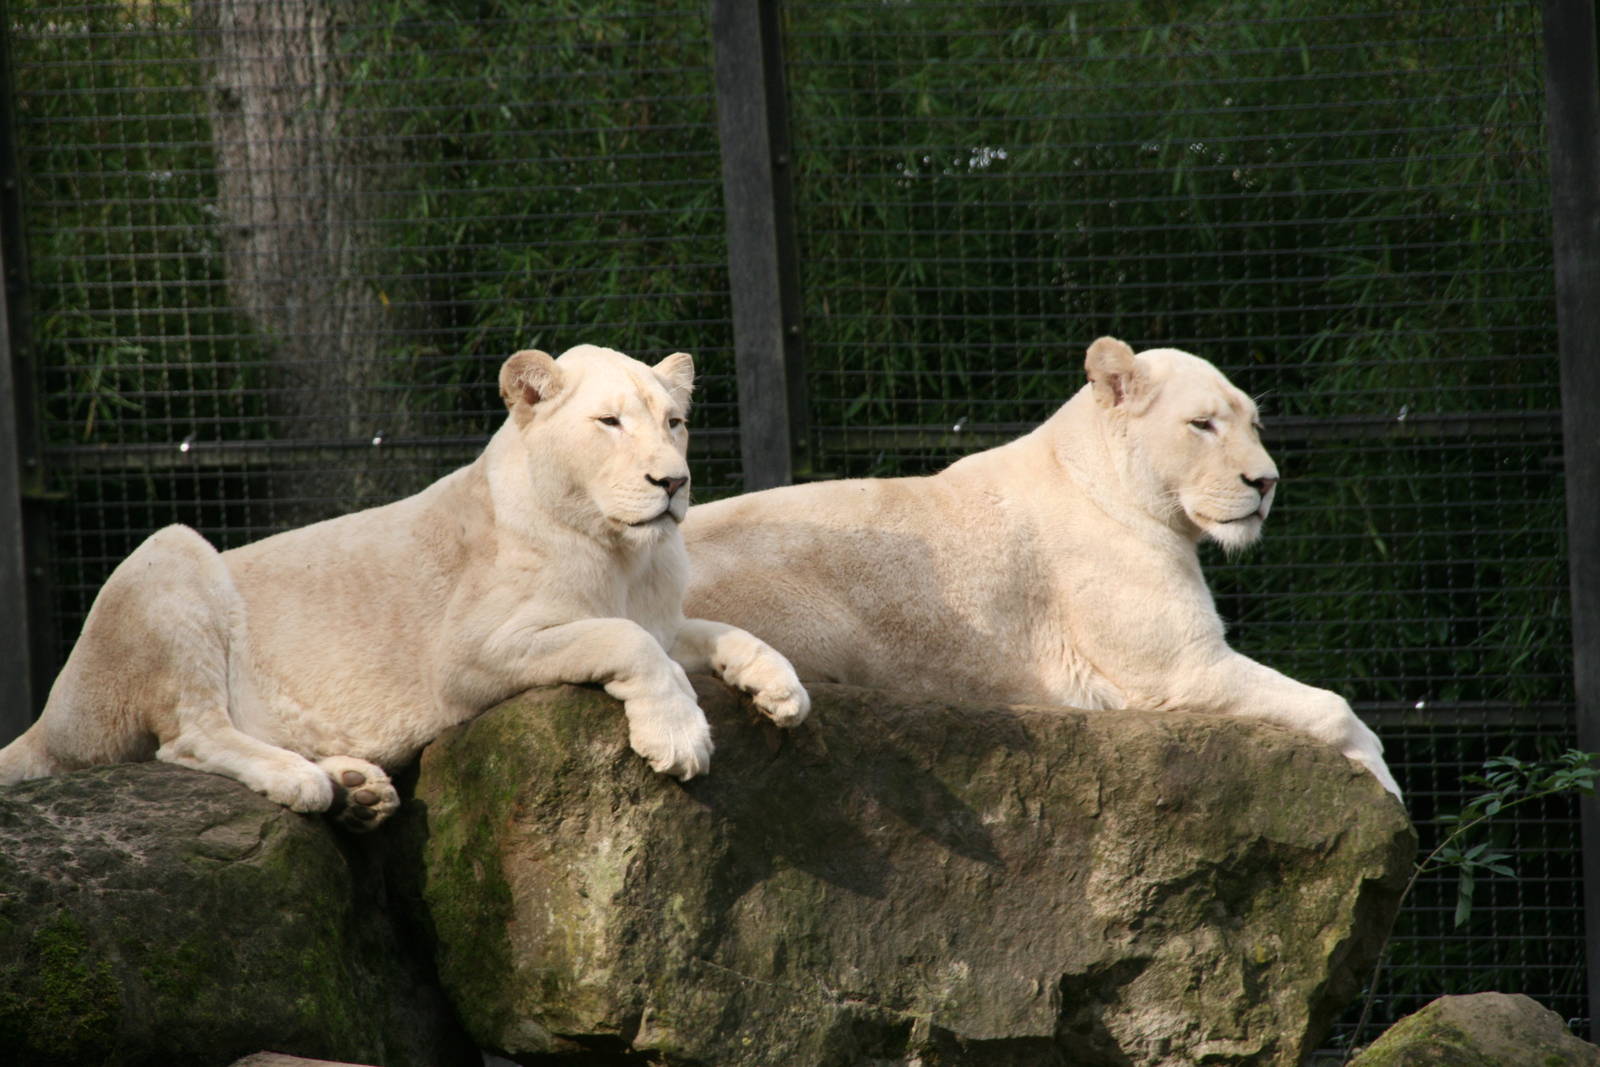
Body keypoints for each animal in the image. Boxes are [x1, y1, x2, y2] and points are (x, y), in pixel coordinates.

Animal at [0, 344, 810, 829]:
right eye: (609, 421)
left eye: (674, 422)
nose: (672, 483)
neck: (625, 554)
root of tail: (49, 713)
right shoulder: (470, 655)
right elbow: (629, 639)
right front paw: (677, 734)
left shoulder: (668, 616)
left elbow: (720, 629)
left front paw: (780, 688)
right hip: (171, 553)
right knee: (186, 737)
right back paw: (303, 781)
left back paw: (357, 787)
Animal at [685, 336, 1400, 799]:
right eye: (1202, 424)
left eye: (1255, 424)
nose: (1267, 482)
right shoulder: (1178, 669)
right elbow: (1333, 705)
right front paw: (1386, 783)